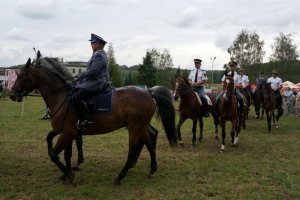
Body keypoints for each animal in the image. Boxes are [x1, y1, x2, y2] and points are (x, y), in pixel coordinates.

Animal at [9, 51, 178, 184]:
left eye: (22, 76)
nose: (12, 95)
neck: (61, 96)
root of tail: (148, 93)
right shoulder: (65, 131)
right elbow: (61, 149)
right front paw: (67, 173)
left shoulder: (67, 132)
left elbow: (55, 154)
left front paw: (68, 173)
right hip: (140, 126)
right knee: (149, 140)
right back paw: (151, 170)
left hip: (134, 128)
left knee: (133, 150)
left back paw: (120, 177)